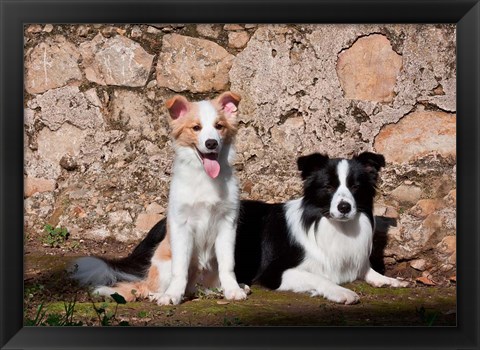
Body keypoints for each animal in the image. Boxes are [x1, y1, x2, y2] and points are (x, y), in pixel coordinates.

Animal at [73, 152, 406, 304]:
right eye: (328, 188)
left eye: (355, 187)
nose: (345, 207)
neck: (327, 224)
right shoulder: (277, 272)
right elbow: (321, 279)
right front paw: (342, 292)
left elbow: (369, 272)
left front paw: (392, 280)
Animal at [74, 91, 251, 304]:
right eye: (196, 128)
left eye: (219, 126)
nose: (211, 143)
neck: (205, 178)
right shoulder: (182, 224)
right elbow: (180, 269)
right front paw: (172, 295)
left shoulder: (227, 223)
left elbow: (228, 264)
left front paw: (232, 290)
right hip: (163, 261)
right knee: (152, 289)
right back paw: (161, 293)